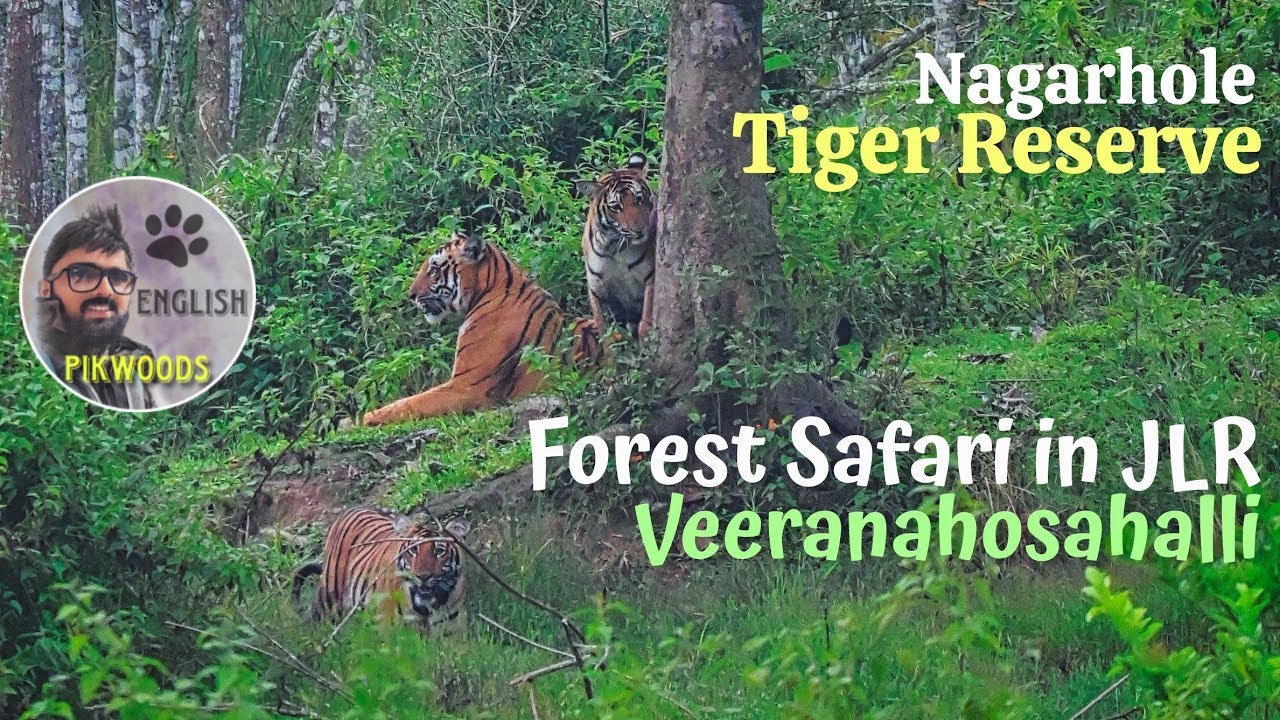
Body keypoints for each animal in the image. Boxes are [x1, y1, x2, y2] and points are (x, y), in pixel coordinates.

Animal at [361, 231, 602, 427]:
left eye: (434, 269)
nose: (410, 295)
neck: (488, 290)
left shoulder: (465, 386)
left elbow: (411, 403)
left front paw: (368, 417)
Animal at [579, 153, 657, 339]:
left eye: (639, 198)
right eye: (616, 207)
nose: (640, 230)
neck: (613, 247)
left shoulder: (651, 277)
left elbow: (647, 319)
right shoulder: (597, 289)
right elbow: (606, 333)